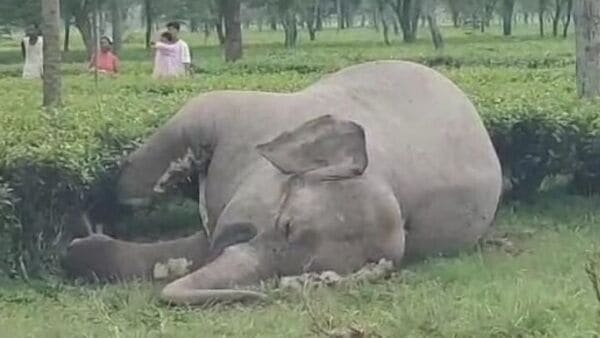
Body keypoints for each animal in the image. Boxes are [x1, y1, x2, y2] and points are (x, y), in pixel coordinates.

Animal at [84, 60, 502, 304]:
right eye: (285, 224)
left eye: (295, 273)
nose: (263, 295)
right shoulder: (241, 115)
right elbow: (139, 178)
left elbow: (201, 246)